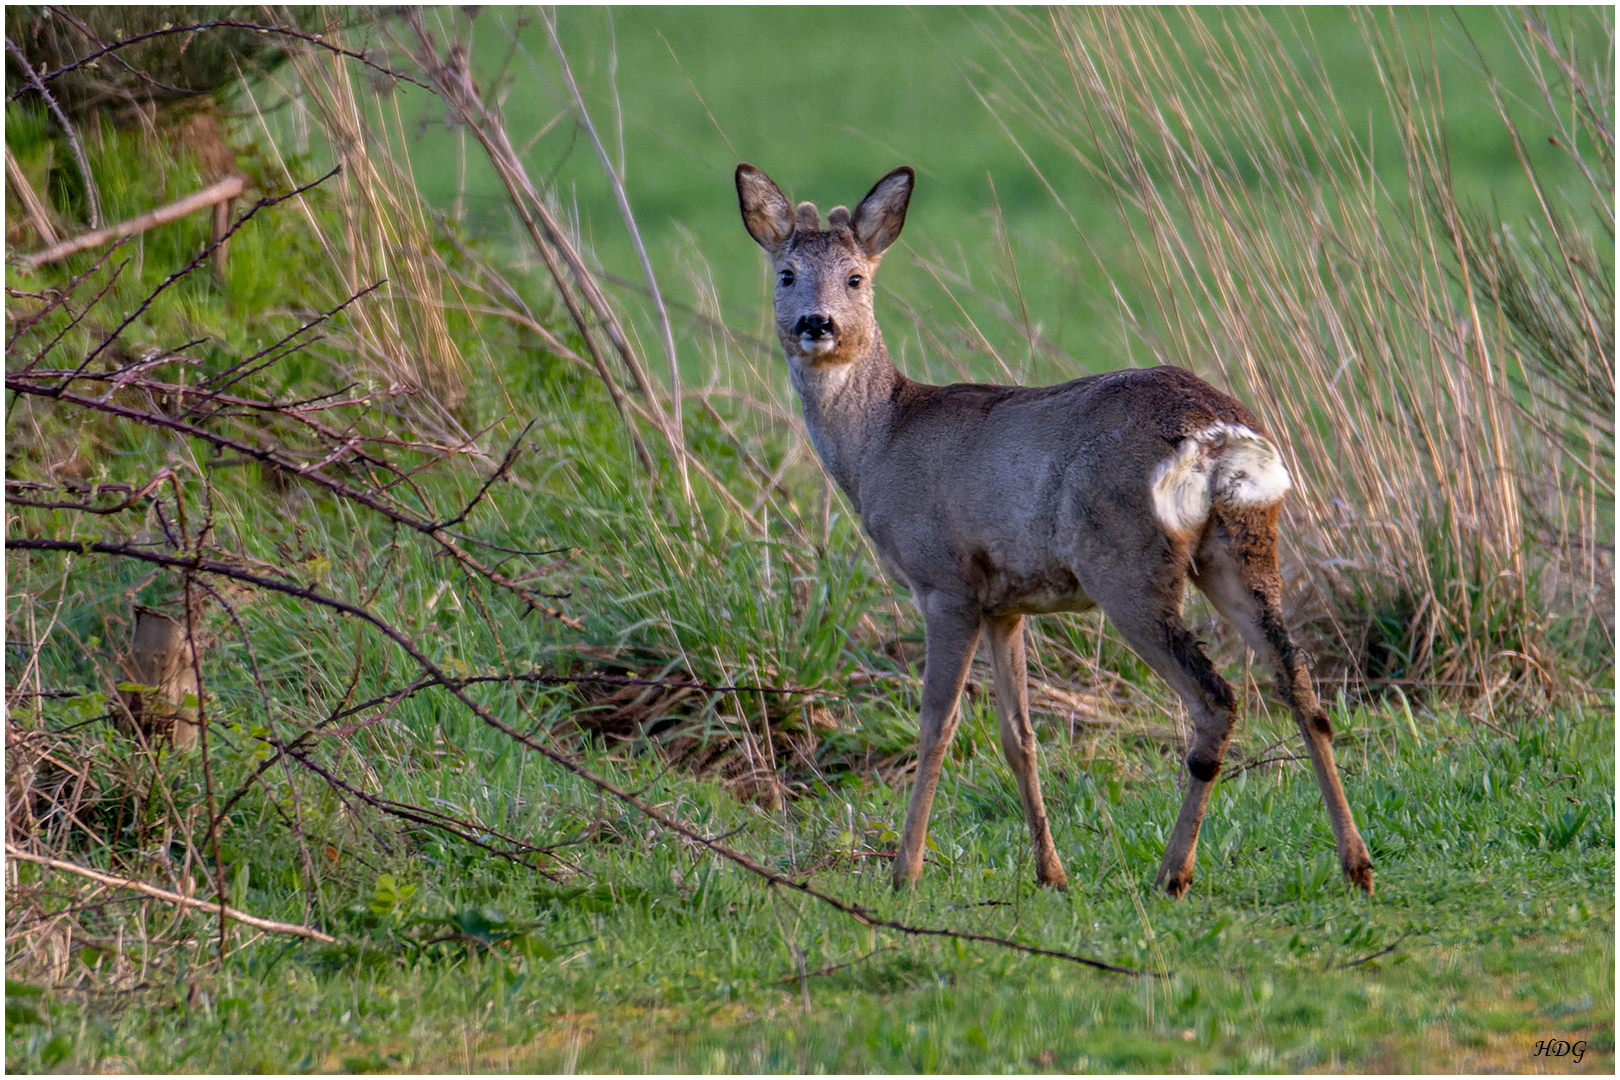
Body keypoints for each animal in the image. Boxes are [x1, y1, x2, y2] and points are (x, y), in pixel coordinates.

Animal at [741, 165, 1373, 900]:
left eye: (855, 277)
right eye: (787, 273)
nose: (817, 324)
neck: (880, 440)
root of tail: (1217, 432)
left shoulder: (945, 582)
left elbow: (938, 725)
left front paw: (905, 871)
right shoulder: (1004, 603)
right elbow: (1019, 736)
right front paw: (1051, 872)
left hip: (1126, 563)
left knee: (1216, 698)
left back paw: (1172, 873)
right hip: (1243, 545)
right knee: (1298, 682)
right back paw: (1356, 864)